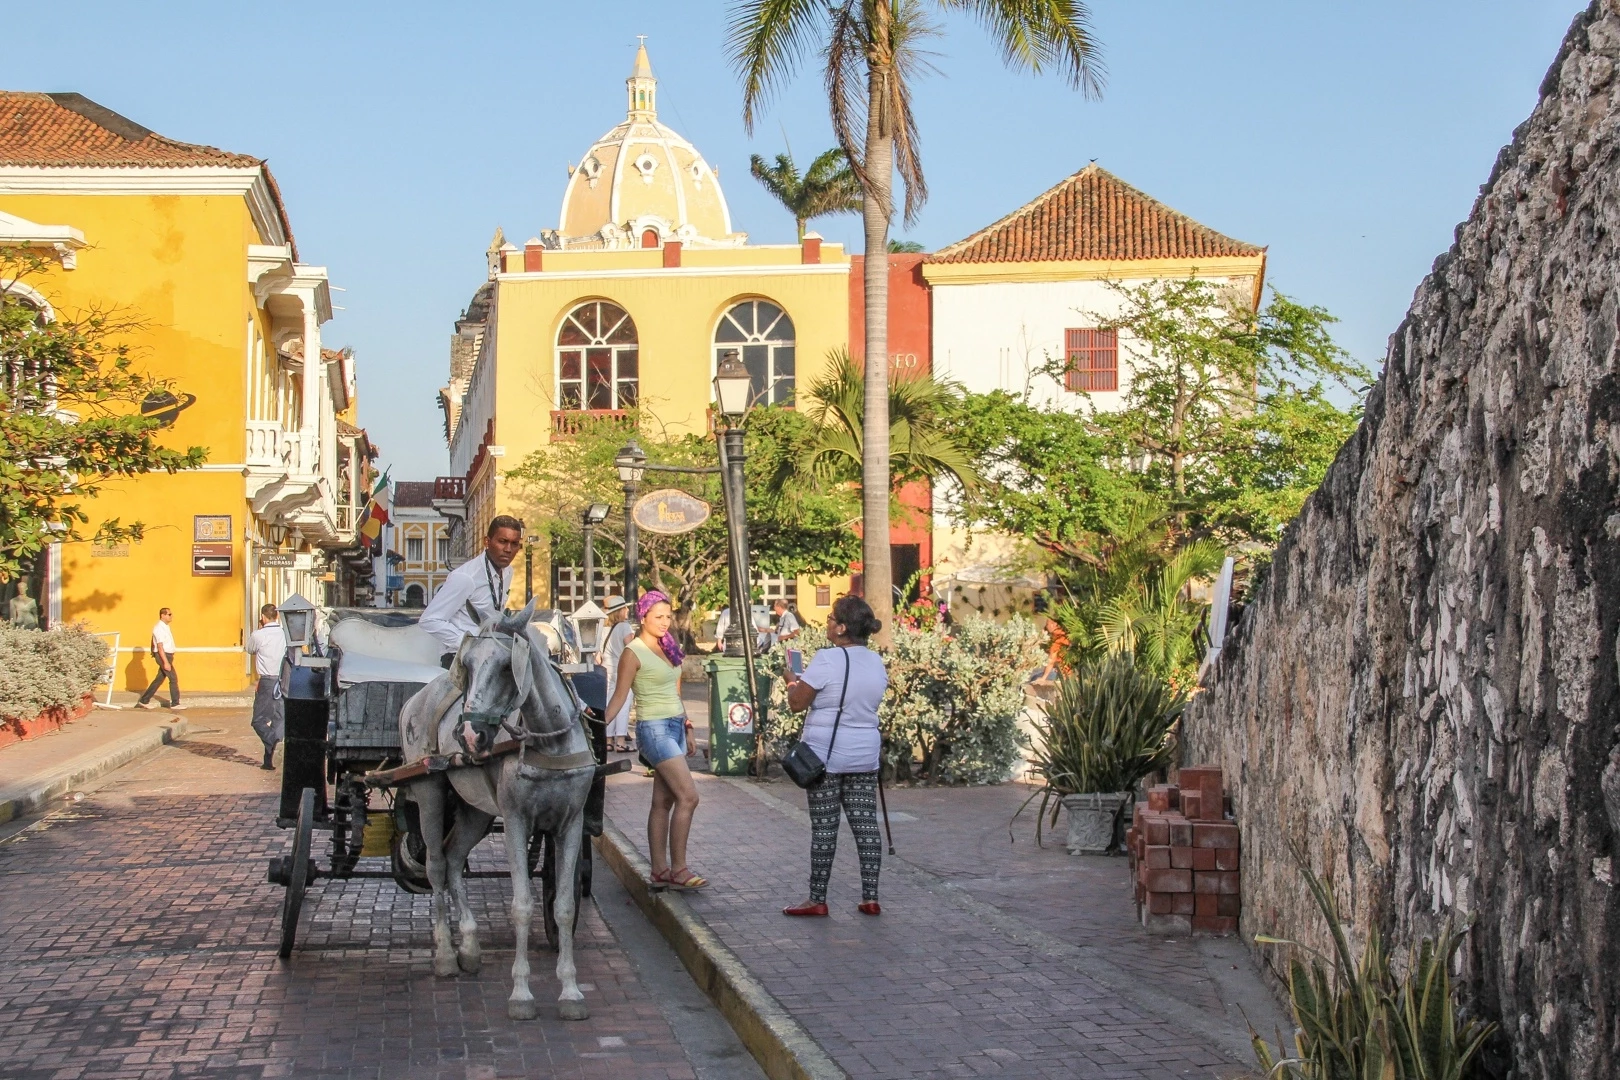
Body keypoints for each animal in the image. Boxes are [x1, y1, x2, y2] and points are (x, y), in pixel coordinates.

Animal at [395, 599, 599, 1023]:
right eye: (467, 665)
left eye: (508, 667)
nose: (470, 735)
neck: (549, 741)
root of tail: (416, 697)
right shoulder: (518, 823)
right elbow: (521, 906)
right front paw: (521, 993)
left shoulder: (570, 823)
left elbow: (564, 907)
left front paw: (571, 992)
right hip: (429, 792)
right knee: (436, 866)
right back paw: (445, 954)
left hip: (476, 811)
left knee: (455, 859)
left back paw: (470, 947)